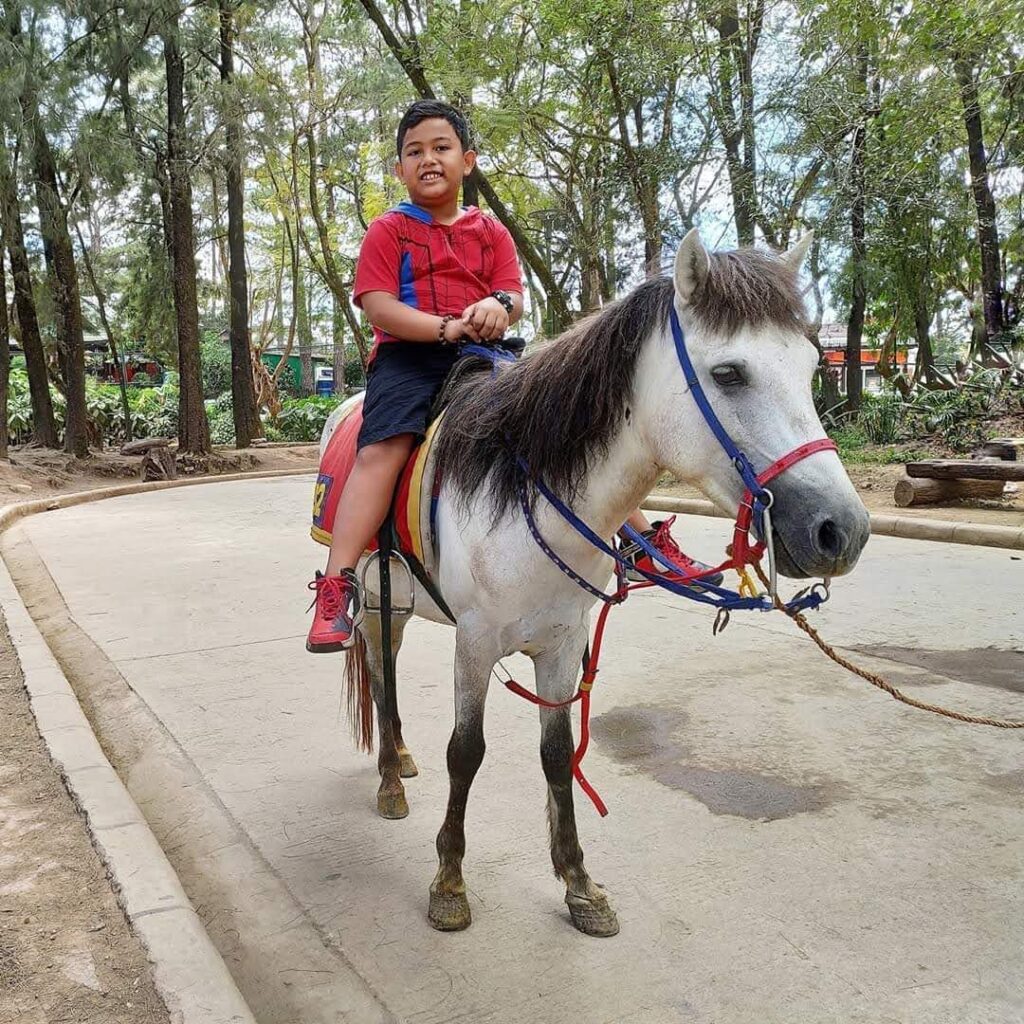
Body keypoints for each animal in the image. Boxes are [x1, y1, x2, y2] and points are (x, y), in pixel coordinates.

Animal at [321, 230, 872, 937]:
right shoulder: (474, 643)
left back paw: (401, 761)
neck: (525, 491)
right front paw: (449, 882)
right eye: (728, 373)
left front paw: (579, 884)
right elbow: (465, 752)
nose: (841, 530)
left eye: (810, 368)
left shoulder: (561, 642)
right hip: (375, 602)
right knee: (379, 671)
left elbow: (558, 756)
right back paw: (390, 778)